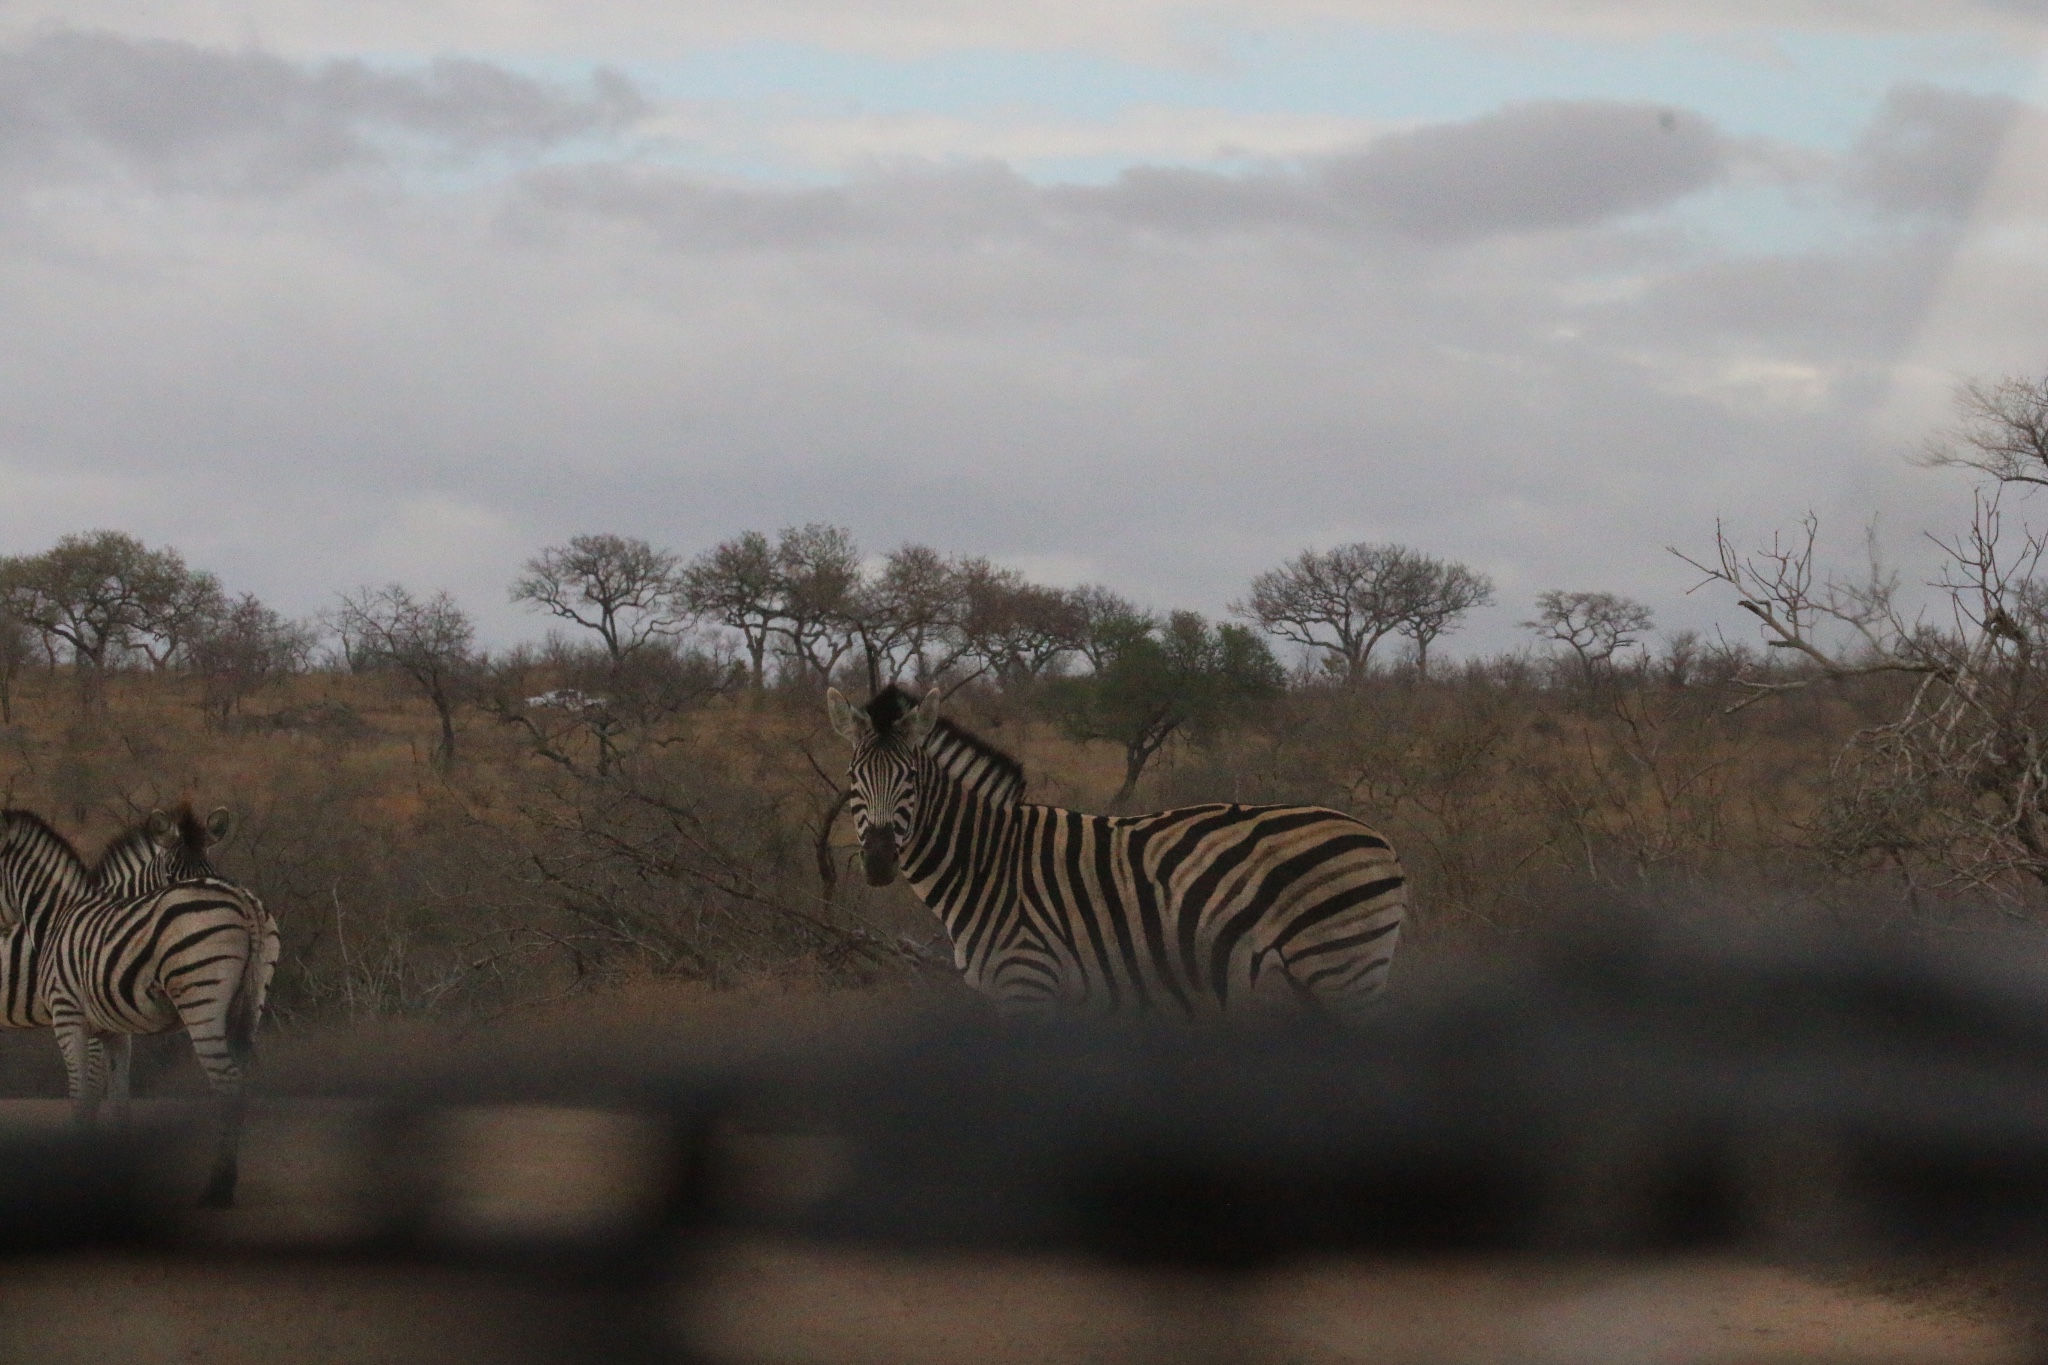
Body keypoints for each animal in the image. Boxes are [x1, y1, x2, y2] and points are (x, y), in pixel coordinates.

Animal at [40, 806, 276, 1211]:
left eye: (210, 868)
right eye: (170, 876)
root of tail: (246, 905)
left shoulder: (75, 1012)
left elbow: (88, 1090)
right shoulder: (108, 1022)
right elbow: (111, 1092)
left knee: (227, 1083)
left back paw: (218, 1187)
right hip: (250, 1003)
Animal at [823, 687, 1400, 1019]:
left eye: (911, 779)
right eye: (853, 777)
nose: (878, 862)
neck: (988, 863)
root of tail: (1380, 840)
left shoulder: (1028, 982)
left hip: (1342, 972)